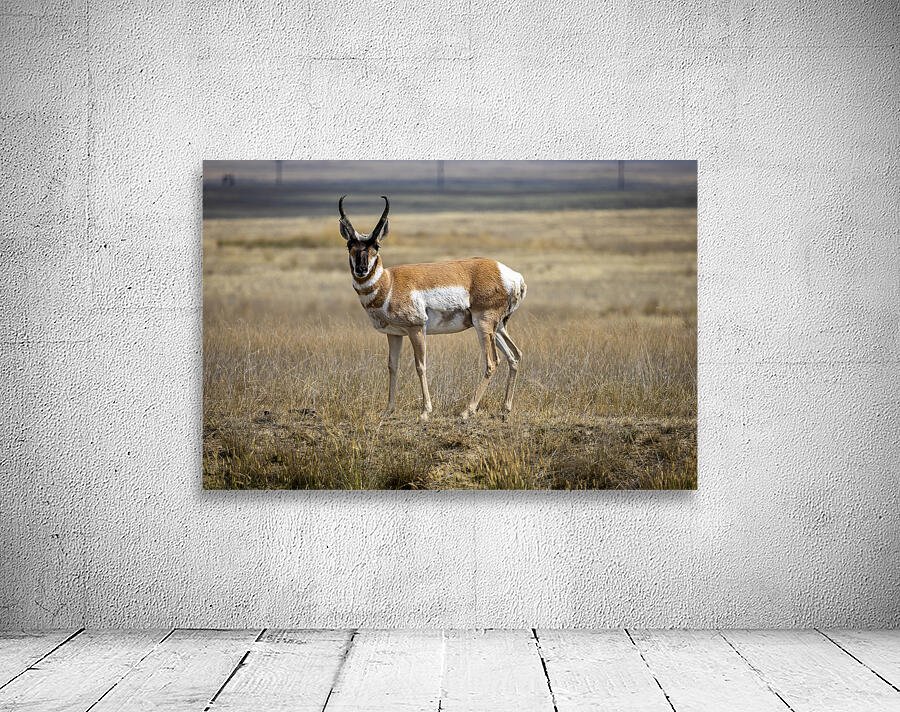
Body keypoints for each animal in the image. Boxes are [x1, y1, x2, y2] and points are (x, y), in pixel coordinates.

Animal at [340, 195, 526, 423]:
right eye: (349, 244)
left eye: (377, 245)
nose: (361, 269)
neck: (389, 282)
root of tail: (510, 274)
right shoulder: (394, 334)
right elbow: (392, 366)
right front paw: (388, 410)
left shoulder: (417, 329)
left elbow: (420, 366)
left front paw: (425, 412)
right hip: (497, 328)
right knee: (514, 355)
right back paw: (504, 409)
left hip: (483, 325)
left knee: (492, 362)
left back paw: (467, 410)